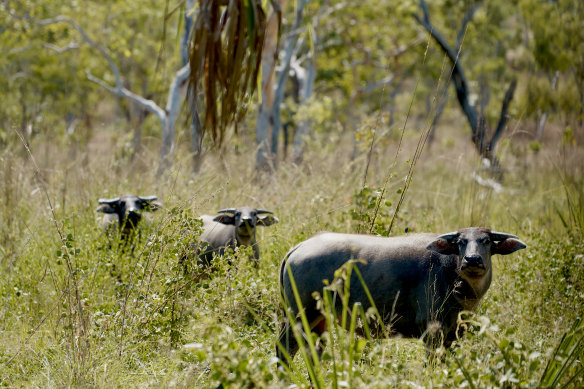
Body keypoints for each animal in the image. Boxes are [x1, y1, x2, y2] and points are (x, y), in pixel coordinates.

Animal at [276, 226, 528, 366]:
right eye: (460, 242)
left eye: (486, 241)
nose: (472, 260)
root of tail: (301, 247)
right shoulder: (432, 332)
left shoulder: (453, 335)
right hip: (299, 315)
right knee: (284, 349)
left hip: (319, 320)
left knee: (313, 352)